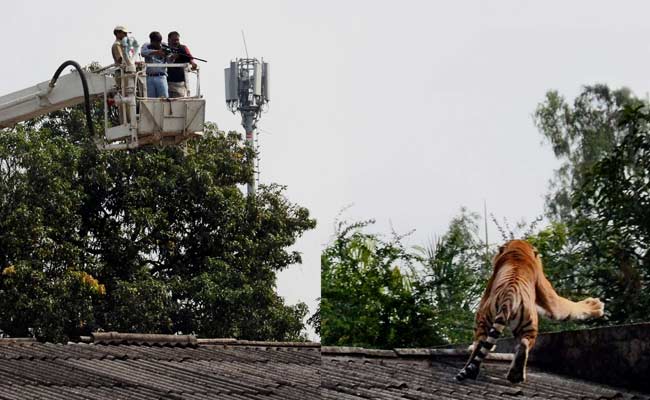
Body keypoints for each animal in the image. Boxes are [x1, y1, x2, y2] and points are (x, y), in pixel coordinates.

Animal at [456, 239, 604, 382]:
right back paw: (514, 375)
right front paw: (596, 305)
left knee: (486, 342)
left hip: (497, 320)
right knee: (521, 343)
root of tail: (508, 298)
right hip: (528, 324)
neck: (518, 250)